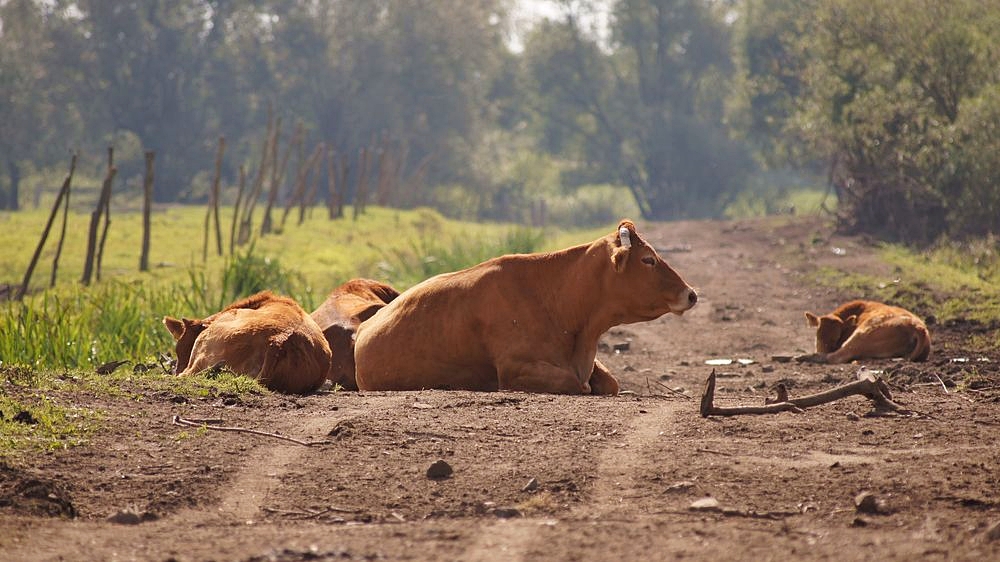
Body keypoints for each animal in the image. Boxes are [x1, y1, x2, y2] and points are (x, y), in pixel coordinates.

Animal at [796, 298, 928, 364]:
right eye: (818, 337)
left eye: (837, 337)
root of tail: (916, 326)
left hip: (860, 336)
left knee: (836, 357)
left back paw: (800, 357)